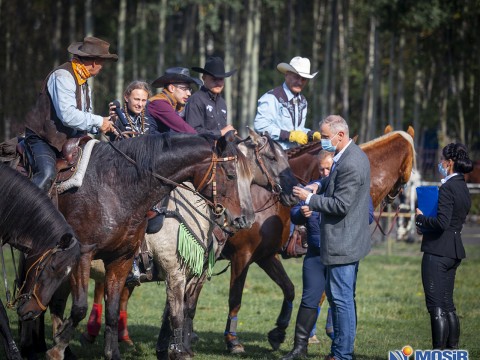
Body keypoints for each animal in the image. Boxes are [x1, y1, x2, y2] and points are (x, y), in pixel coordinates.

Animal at [19, 131, 255, 360]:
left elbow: (163, 312)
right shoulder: (88, 255)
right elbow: (176, 315)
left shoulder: (128, 260)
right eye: (231, 175)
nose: (246, 219)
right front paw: (178, 352)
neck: (114, 188)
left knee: (54, 302)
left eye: (251, 178)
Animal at [221, 126, 416, 352]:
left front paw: (283, 331)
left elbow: (294, 289)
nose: (397, 197)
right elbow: (235, 298)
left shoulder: (266, 256)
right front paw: (233, 340)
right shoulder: (242, 255)